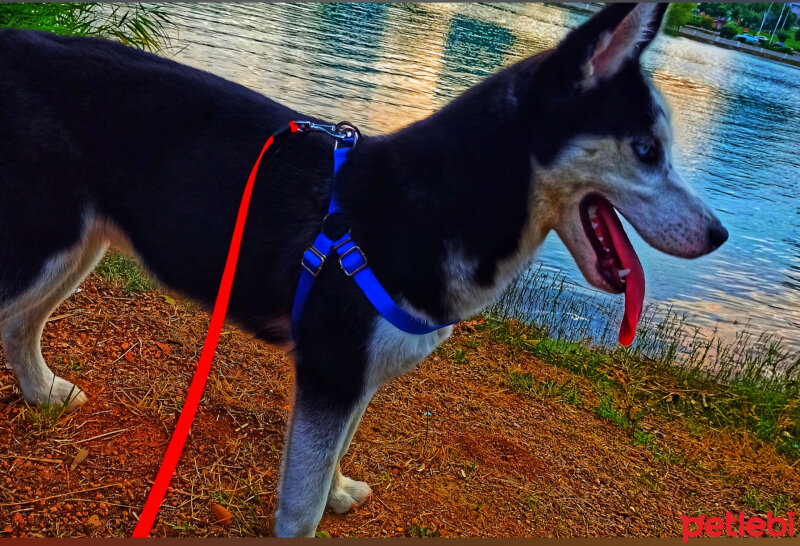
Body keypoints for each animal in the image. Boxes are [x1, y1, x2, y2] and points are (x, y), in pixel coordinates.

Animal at [0, 1, 724, 536]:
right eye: (647, 149)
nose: (719, 234)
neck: (431, 204)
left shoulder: (354, 378)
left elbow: (333, 457)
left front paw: (339, 487)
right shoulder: (333, 370)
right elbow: (300, 506)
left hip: (72, 249)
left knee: (20, 327)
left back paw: (42, 392)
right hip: (43, 247)